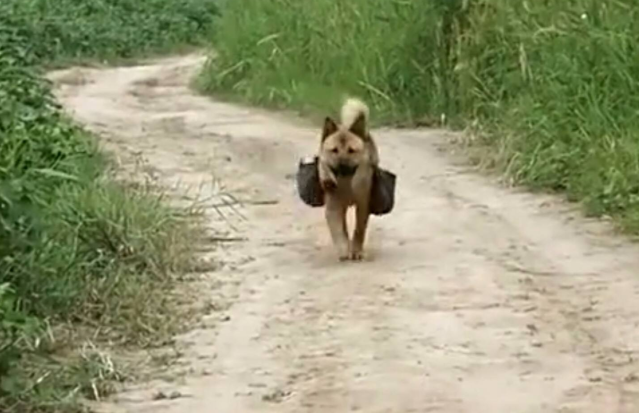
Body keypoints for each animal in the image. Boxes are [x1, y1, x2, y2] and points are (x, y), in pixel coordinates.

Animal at [318, 98, 380, 260]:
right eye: (334, 150)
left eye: (351, 151)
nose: (341, 165)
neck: (346, 184)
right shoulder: (333, 206)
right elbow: (338, 231)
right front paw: (343, 249)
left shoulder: (363, 206)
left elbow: (359, 229)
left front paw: (356, 250)